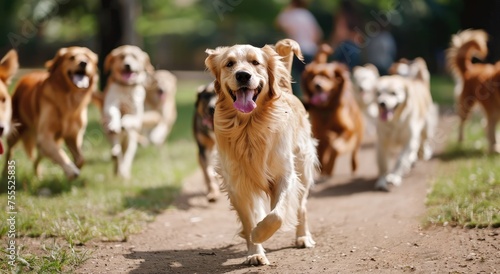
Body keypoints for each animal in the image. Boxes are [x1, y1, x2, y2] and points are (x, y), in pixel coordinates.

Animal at [2, 46, 98, 178]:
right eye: (72, 57)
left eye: (88, 57)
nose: (83, 63)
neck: (70, 99)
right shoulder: (45, 135)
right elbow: (59, 153)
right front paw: (70, 170)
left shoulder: (73, 136)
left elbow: (81, 159)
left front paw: (73, 166)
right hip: (15, 131)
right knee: (9, 152)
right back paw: (5, 174)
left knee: (39, 157)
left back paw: (39, 174)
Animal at [205, 39, 318, 266]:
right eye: (229, 64)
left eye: (255, 62)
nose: (243, 75)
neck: (250, 127)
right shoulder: (237, 183)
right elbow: (249, 220)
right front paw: (255, 251)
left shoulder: (285, 175)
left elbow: (277, 215)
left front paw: (259, 233)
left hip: (303, 165)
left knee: (301, 206)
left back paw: (303, 237)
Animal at [300, 44, 364, 178]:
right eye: (312, 77)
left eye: (328, 77)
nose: (317, 85)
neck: (326, 109)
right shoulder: (318, 133)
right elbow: (322, 150)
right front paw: (323, 167)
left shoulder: (348, 131)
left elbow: (336, 147)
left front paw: (329, 167)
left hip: (358, 132)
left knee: (354, 152)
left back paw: (354, 166)